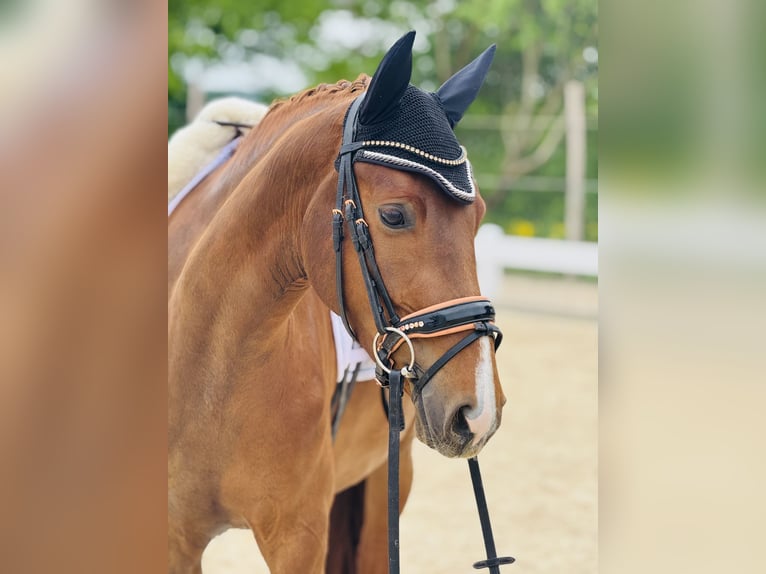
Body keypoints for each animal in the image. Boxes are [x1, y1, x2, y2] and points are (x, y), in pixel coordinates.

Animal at [168, 31, 506, 573]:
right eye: (393, 215)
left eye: (478, 215)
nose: (478, 411)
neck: (209, 364)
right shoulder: (176, 540)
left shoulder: (300, 534)